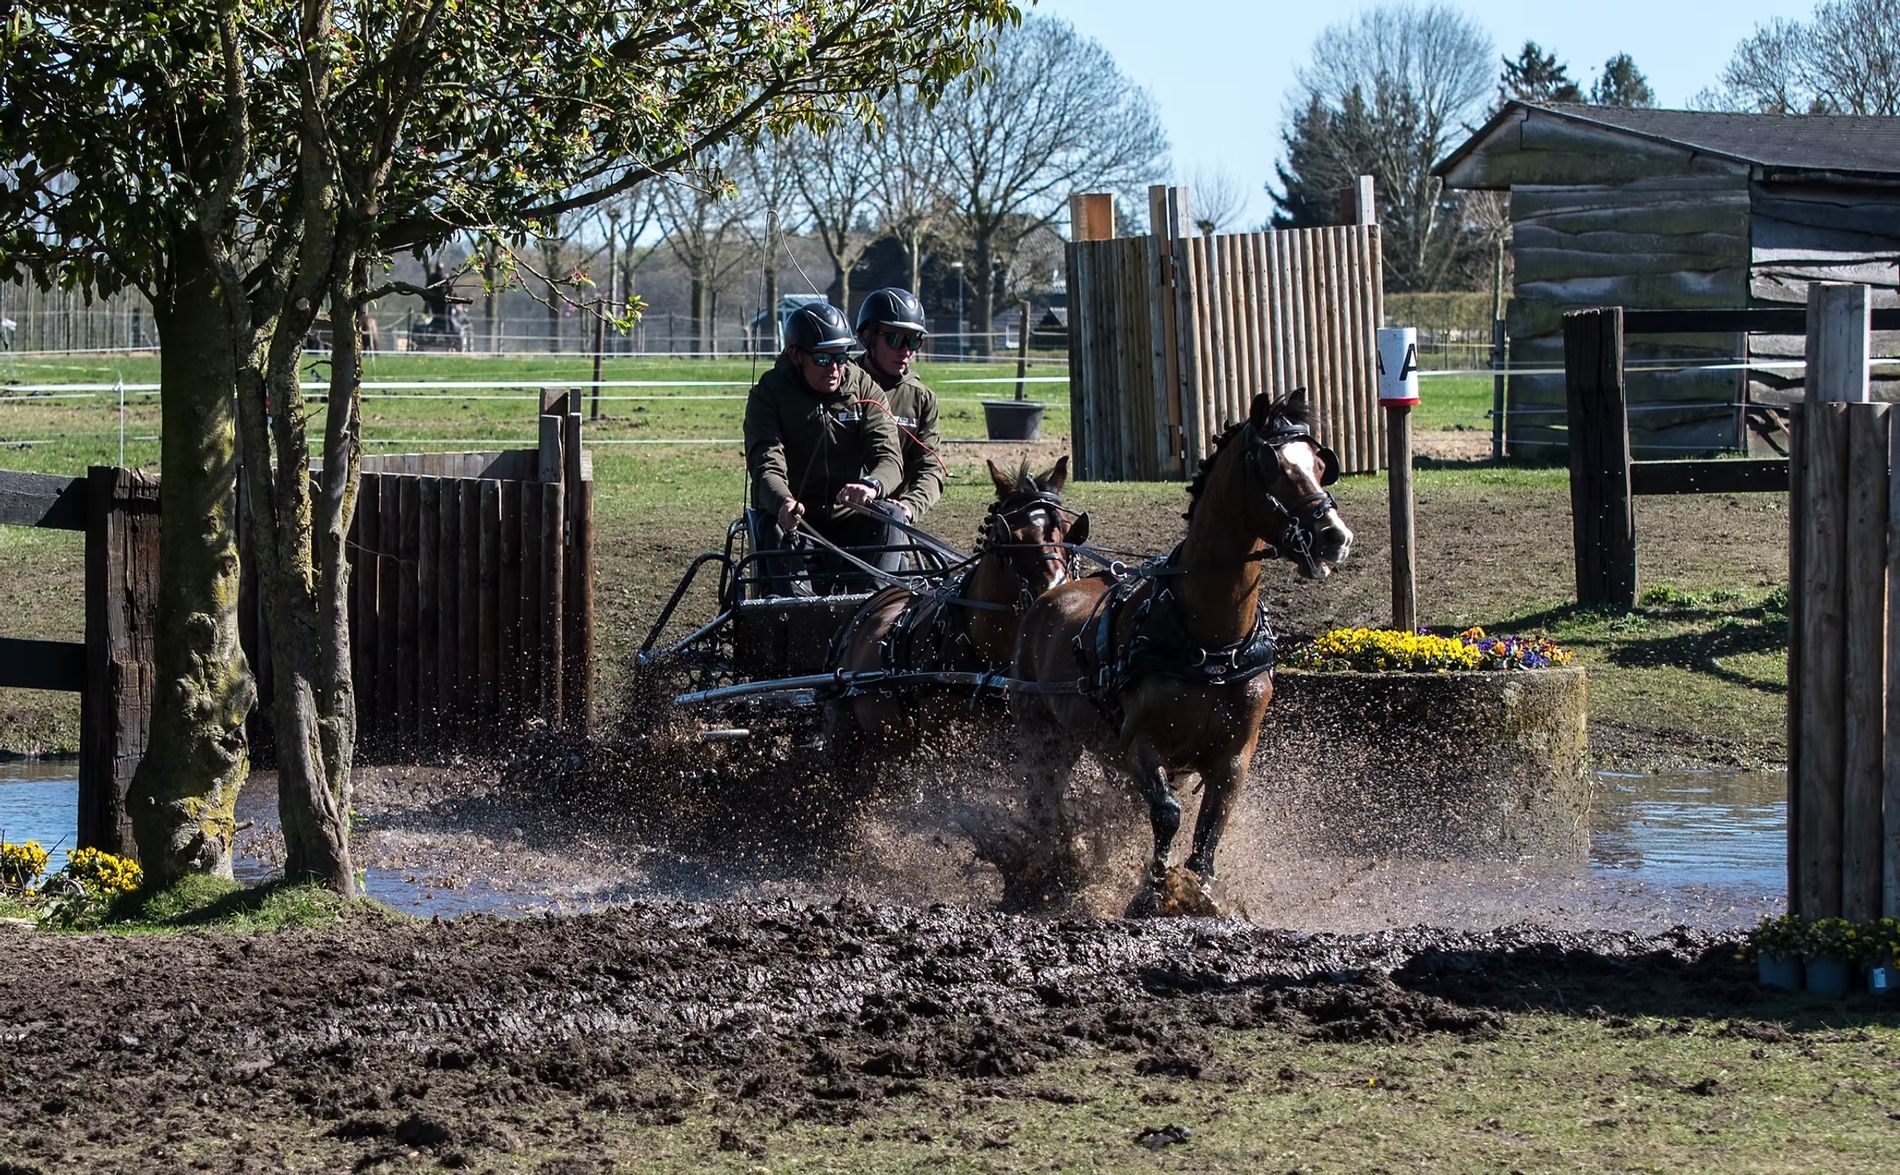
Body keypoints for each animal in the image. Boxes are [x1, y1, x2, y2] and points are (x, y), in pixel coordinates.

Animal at [1007, 389, 1353, 913]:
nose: (1335, 537)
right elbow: (1168, 813)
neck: (1212, 645)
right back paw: (1056, 864)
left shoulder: (1234, 755)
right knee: (1044, 796)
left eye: (1319, 463)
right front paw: (1153, 890)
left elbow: (1211, 824)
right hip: (1043, 735)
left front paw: (1200, 890)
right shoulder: (1140, 745)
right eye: (1270, 465)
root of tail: (1050, 594)